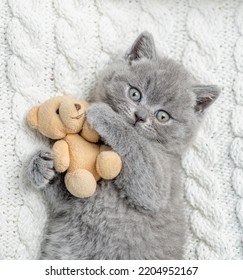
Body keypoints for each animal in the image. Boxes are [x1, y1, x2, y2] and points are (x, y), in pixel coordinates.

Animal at [27, 32, 220, 260]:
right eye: (135, 94)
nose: (140, 116)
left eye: (162, 116)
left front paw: (104, 114)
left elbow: (135, 144)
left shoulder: (159, 185)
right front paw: (41, 166)